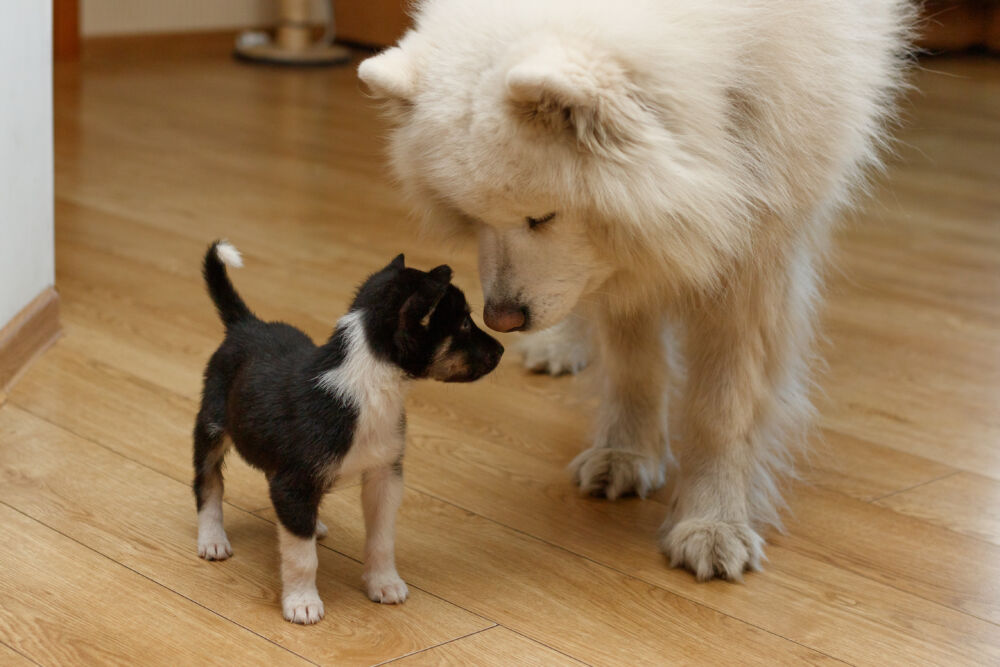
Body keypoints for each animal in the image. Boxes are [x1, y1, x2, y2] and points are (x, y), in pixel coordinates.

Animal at [194, 244, 504, 628]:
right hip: (211, 426)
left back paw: (312, 524)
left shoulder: (384, 475)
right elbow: (301, 557)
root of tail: (246, 324)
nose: (502, 350)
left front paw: (384, 583)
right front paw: (302, 602)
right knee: (208, 484)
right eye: (463, 322)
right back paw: (213, 539)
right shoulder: (294, 482)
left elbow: (382, 539)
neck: (370, 385)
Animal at [360, 0, 916, 580]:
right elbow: (635, 366)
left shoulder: (756, 249)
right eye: (472, 219)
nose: (501, 319)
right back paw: (560, 347)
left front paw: (712, 522)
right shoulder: (623, 259)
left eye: (542, 217)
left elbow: (724, 406)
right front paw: (625, 456)